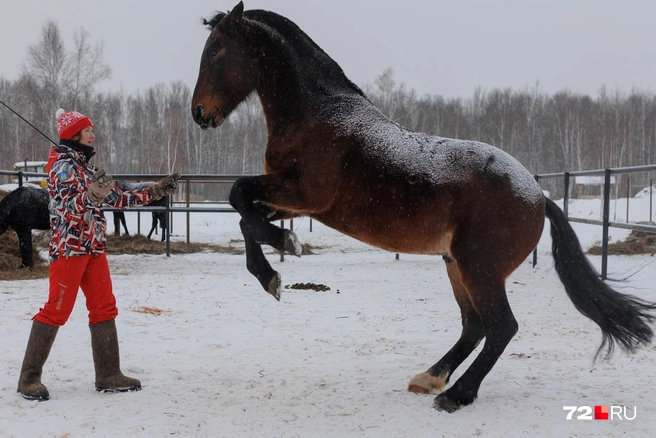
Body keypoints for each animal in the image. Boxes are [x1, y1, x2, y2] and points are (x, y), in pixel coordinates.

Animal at [190, 1, 656, 412]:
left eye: (216, 49)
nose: (198, 113)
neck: (318, 116)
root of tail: (539, 196)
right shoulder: (291, 202)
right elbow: (244, 215)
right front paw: (273, 270)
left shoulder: (305, 194)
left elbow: (237, 195)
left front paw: (283, 252)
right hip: (456, 265)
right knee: (474, 326)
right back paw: (430, 378)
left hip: (479, 268)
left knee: (500, 327)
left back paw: (455, 396)